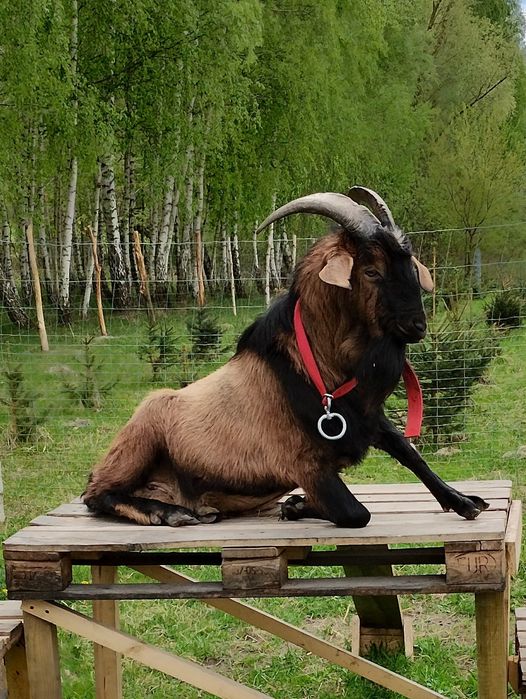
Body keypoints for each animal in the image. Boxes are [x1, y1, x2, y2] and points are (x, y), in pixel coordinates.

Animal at [83, 187, 489, 528]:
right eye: (372, 270)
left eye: (409, 265)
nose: (417, 325)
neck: (315, 369)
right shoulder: (304, 465)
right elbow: (356, 513)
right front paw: (299, 505)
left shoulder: (368, 419)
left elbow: (410, 452)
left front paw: (465, 501)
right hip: (142, 435)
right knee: (96, 493)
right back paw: (170, 513)